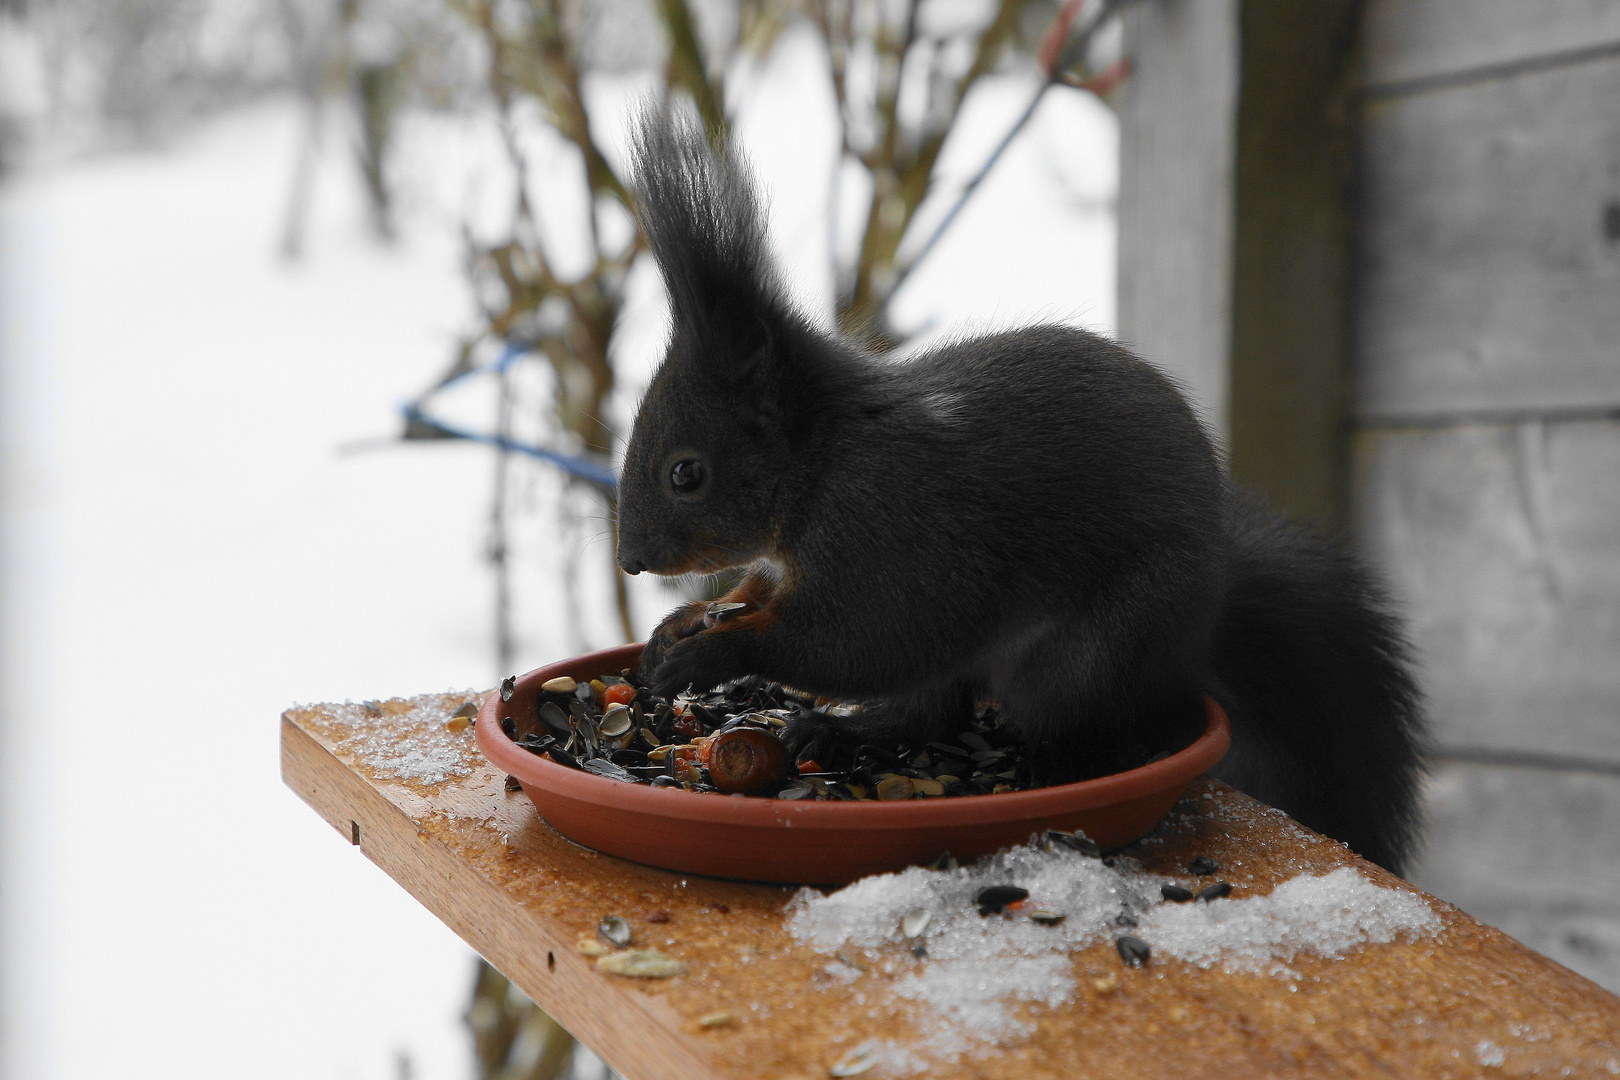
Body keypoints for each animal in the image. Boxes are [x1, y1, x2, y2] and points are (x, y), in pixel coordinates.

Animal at [612, 110, 1425, 874]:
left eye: (686, 473)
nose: (629, 561)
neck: (822, 460)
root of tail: (1205, 624)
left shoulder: (890, 535)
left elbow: (855, 638)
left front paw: (711, 654)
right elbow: (757, 591)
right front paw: (681, 624)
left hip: (1084, 657)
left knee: (1019, 714)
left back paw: (1047, 763)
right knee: (933, 713)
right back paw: (840, 730)